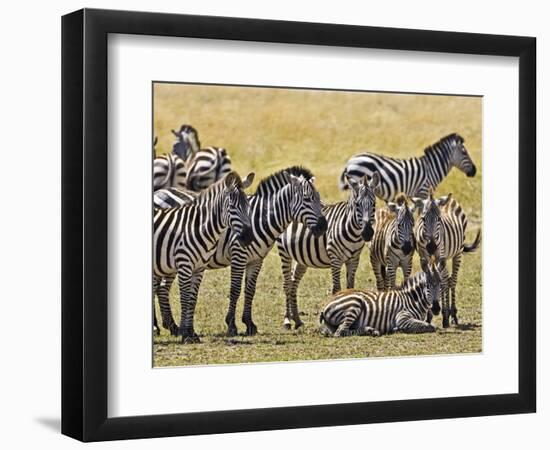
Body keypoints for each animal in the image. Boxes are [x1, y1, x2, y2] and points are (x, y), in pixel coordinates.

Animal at [154, 171, 256, 342]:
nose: (248, 237)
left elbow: (192, 299)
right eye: (232, 207)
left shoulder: (199, 268)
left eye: (248, 206)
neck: (198, 228)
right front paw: (185, 334)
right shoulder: (185, 265)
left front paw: (191, 332)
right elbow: (185, 298)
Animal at [278, 172, 382, 330]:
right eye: (357, 205)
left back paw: (297, 319)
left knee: (294, 283)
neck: (353, 233)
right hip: (284, 253)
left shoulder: (354, 259)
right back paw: (287, 320)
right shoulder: (335, 259)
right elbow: (337, 288)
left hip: (302, 258)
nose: (368, 233)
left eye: (374, 204)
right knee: (287, 285)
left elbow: (350, 286)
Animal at [414, 192, 484, 326]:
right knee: (448, 278)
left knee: (452, 281)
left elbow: (442, 282)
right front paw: (428, 317)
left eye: (439, 219)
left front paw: (445, 317)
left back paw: (453, 315)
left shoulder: (440, 255)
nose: (431, 246)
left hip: (457, 252)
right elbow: (431, 277)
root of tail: (450, 201)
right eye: (423, 219)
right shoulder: (424, 256)